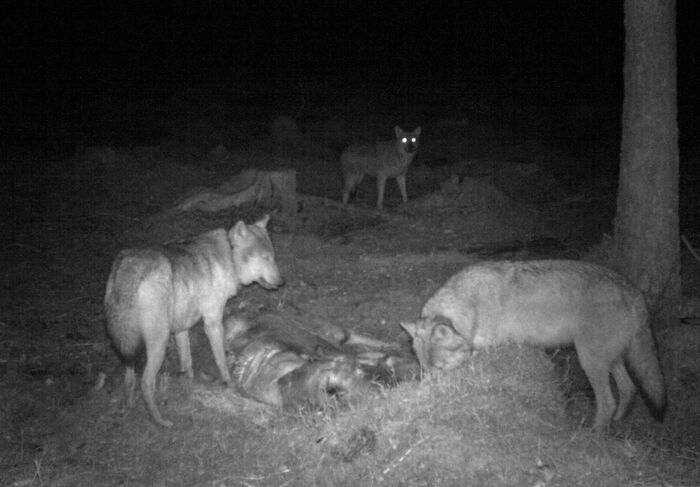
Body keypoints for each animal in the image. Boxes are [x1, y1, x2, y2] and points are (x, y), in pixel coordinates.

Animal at [104, 215, 284, 427]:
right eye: (266, 258)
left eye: (273, 257)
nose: (282, 282)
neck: (230, 256)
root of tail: (128, 264)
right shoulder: (212, 323)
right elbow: (221, 359)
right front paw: (229, 383)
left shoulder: (181, 328)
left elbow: (187, 361)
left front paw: (187, 385)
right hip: (159, 343)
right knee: (146, 382)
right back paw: (160, 421)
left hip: (131, 346)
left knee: (129, 377)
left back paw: (130, 405)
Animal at [400, 259, 667, 431]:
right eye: (424, 370)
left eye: (441, 370)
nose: (428, 396)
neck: (472, 306)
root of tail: (635, 292)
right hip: (610, 359)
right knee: (629, 389)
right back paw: (618, 424)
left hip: (590, 360)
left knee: (609, 402)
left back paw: (594, 434)